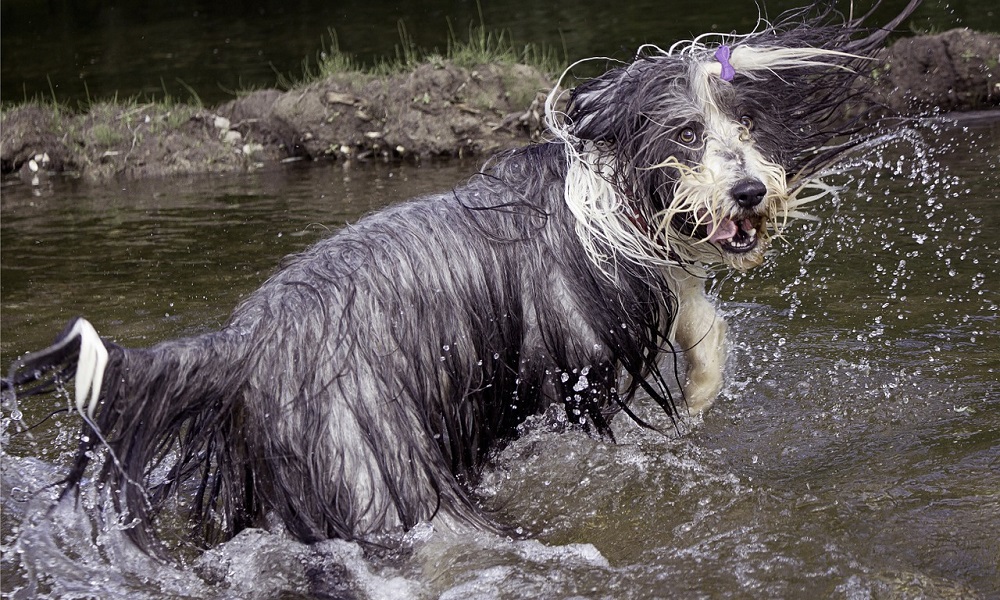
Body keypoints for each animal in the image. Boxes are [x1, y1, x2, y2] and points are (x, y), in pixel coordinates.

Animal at [3, 2, 916, 552]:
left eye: (746, 124)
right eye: (687, 133)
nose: (753, 191)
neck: (601, 190)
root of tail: (240, 346)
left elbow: (699, 310)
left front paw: (699, 387)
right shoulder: (579, 342)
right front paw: (692, 398)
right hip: (375, 465)